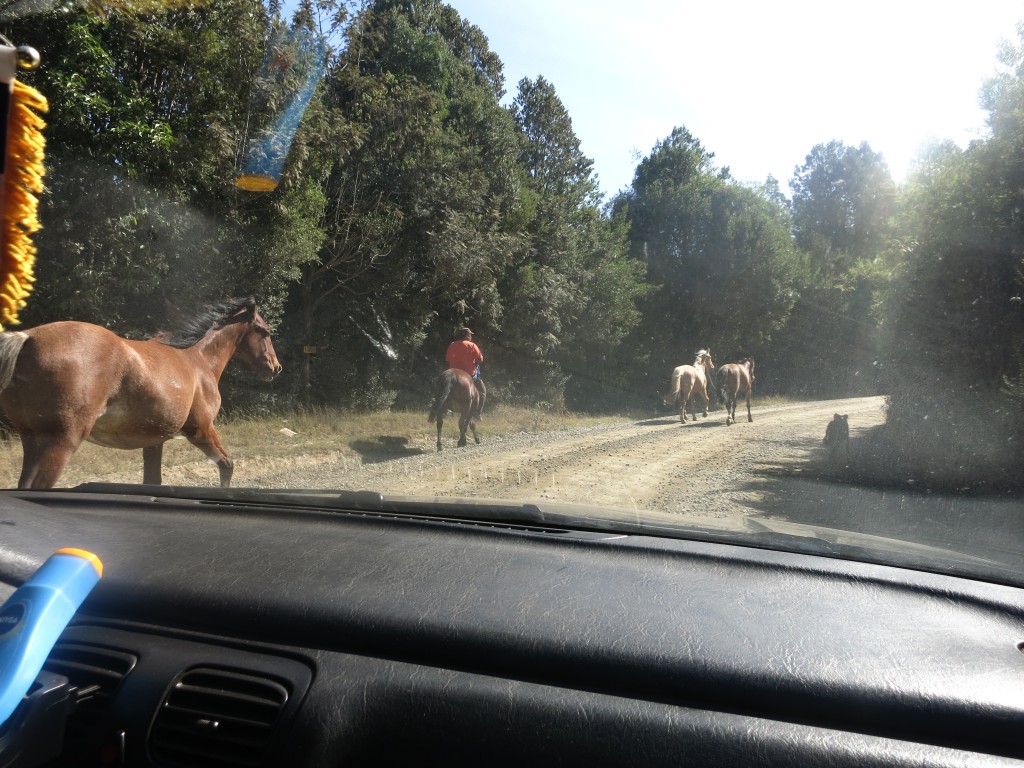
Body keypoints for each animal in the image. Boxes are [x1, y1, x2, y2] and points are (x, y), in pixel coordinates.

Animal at [0, 296, 280, 489]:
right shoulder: (201, 431)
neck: (198, 360)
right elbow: (227, 465)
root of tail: (27, 338)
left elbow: (152, 481)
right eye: (264, 331)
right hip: (62, 441)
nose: (275, 367)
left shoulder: (155, 442)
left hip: (32, 441)